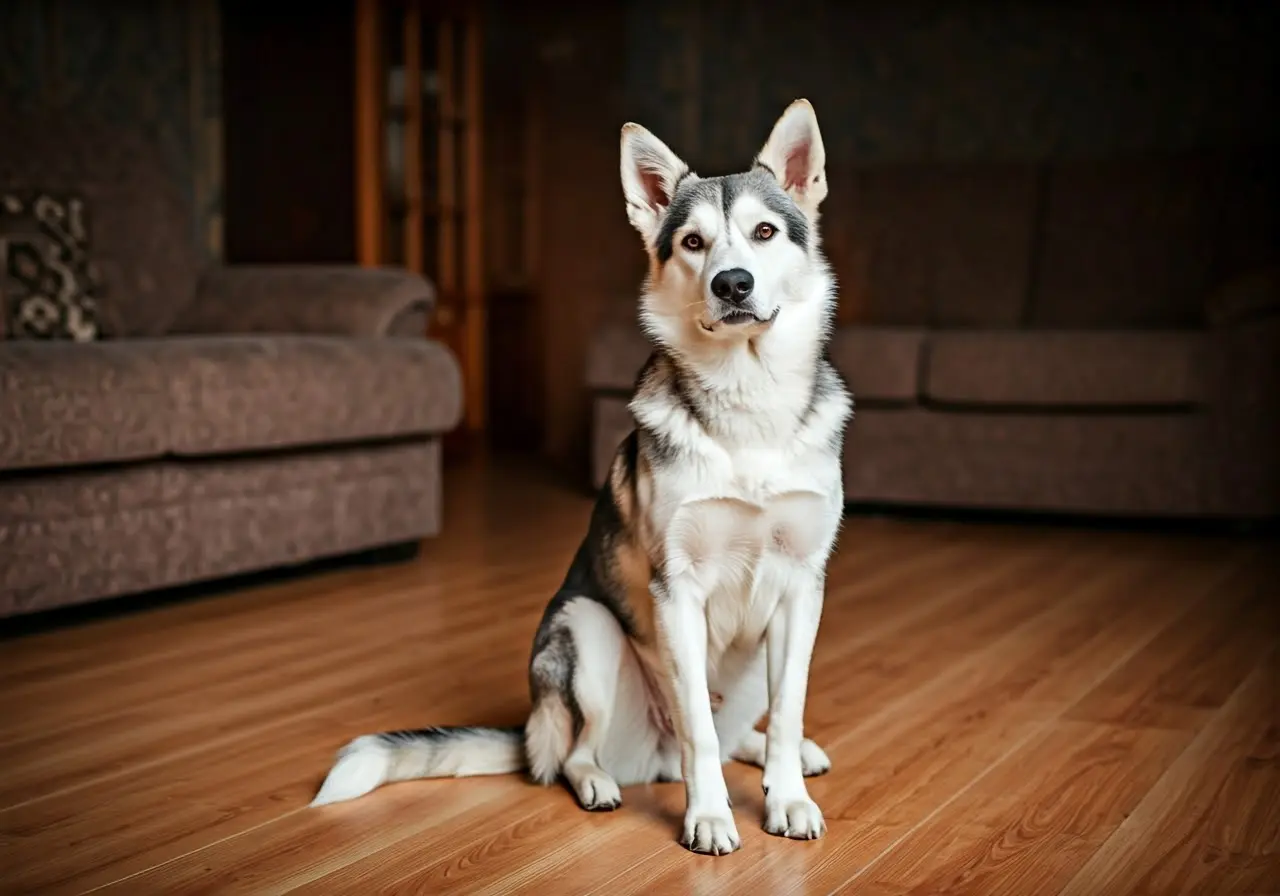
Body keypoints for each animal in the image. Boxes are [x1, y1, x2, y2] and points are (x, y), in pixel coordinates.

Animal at [308, 96, 849, 855]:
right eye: (693, 243)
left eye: (764, 233)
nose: (732, 284)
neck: (746, 403)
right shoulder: (675, 591)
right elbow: (699, 733)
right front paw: (710, 817)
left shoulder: (802, 586)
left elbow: (789, 704)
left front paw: (788, 796)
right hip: (585, 628)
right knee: (584, 753)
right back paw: (597, 781)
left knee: (746, 724)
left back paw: (785, 755)